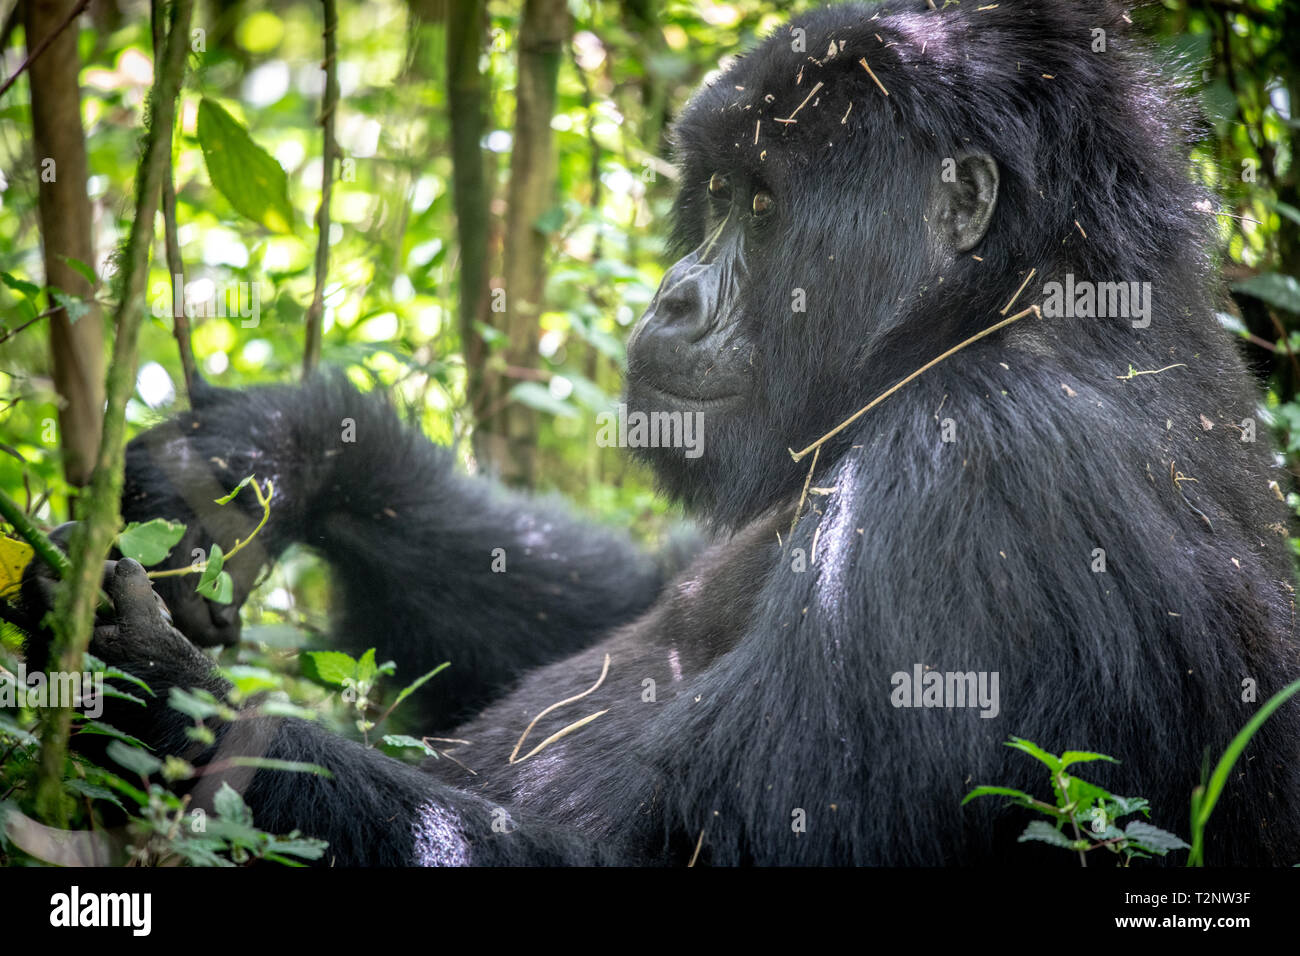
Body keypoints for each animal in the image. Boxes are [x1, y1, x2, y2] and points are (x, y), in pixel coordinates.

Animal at [17, 1, 1300, 868]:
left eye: (763, 206)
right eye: (717, 195)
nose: (674, 296)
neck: (1006, 304)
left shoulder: (983, 471)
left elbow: (689, 844)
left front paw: (145, 697)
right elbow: (624, 593)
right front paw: (266, 452)